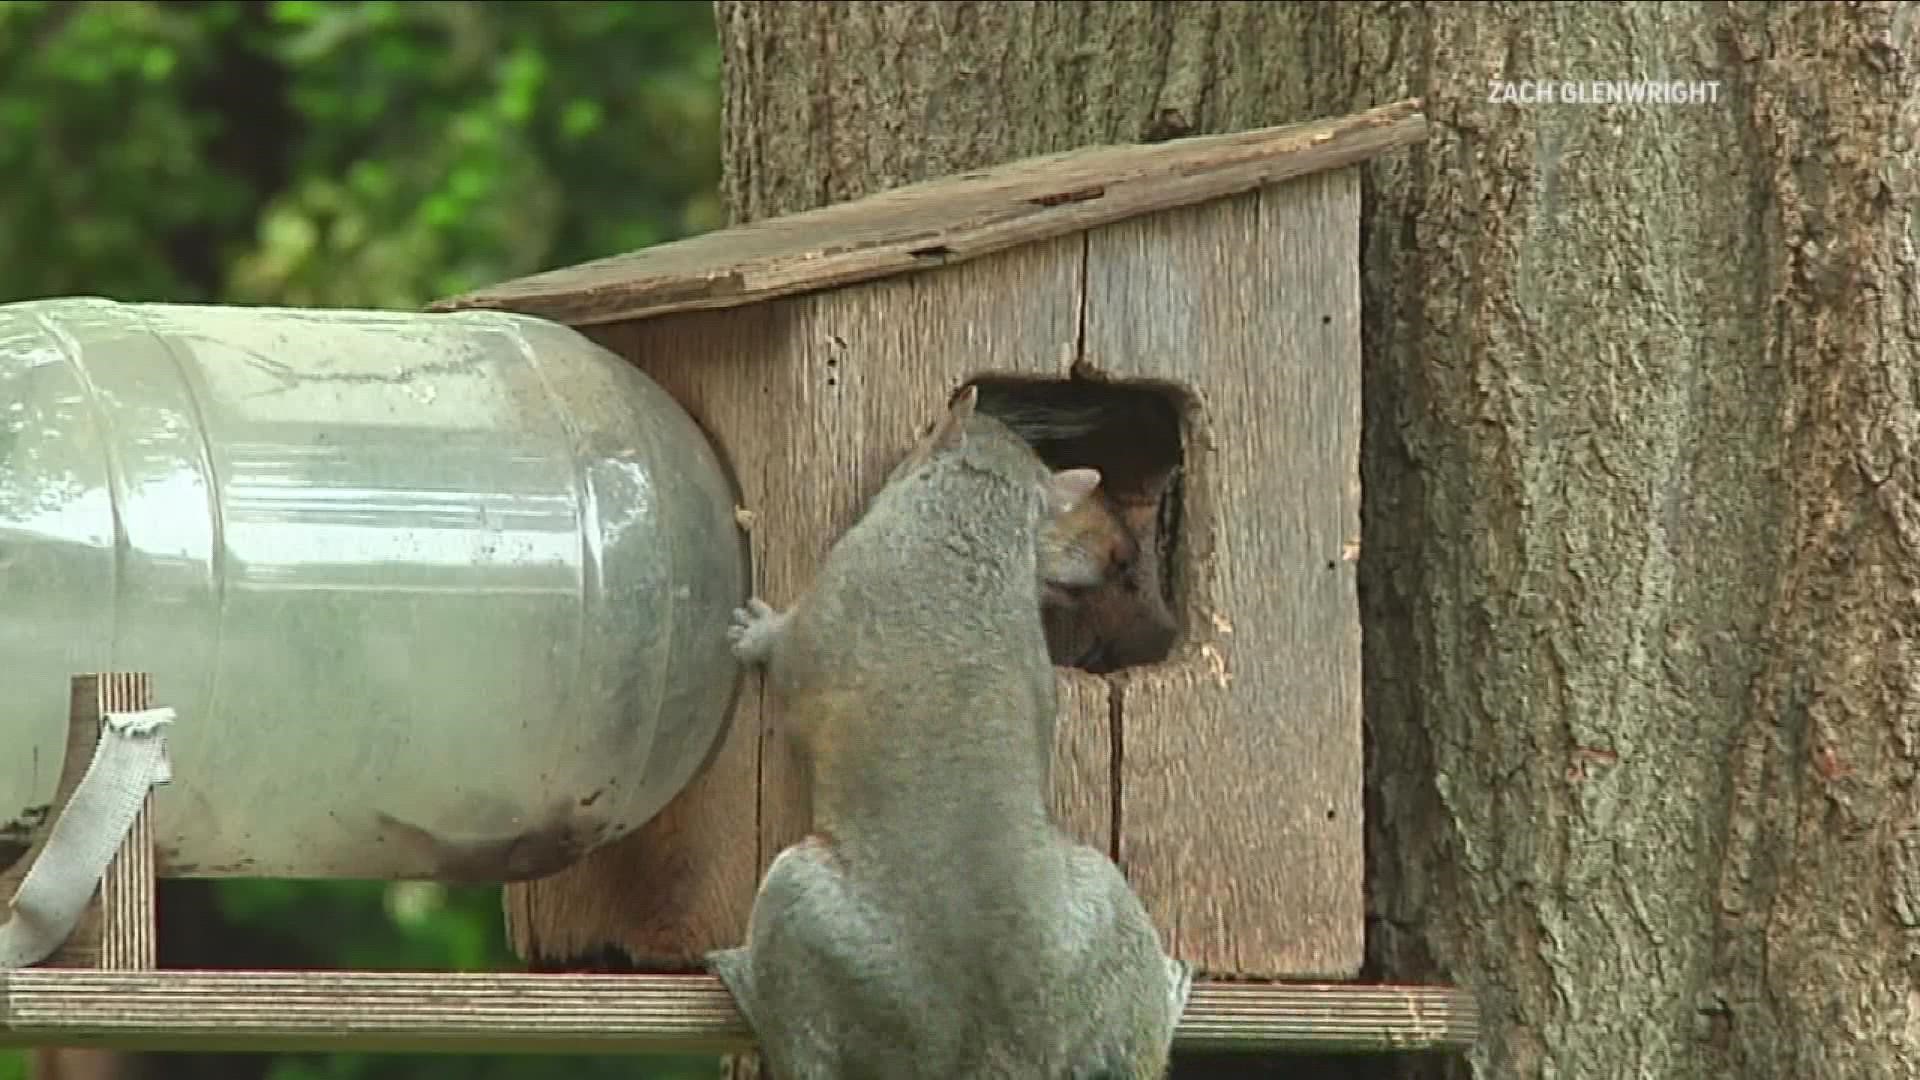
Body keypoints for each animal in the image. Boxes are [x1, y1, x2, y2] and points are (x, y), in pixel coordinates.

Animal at [710, 386, 1182, 1076]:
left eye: (929, 427)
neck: (970, 523)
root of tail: (989, 1044)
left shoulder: (838, 600)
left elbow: (790, 650)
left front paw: (753, 631)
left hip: (803, 912)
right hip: (1104, 907)